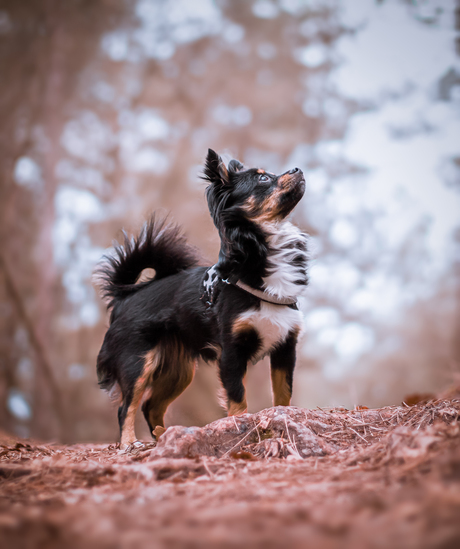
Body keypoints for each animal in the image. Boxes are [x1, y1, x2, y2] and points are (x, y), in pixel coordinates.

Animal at [95, 148, 308, 448]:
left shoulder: (285, 347)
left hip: (178, 372)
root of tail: (126, 295)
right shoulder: (231, 353)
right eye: (263, 178)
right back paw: (128, 444)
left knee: (151, 406)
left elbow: (283, 393)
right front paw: (240, 428)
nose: (298, 169)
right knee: (127, 407)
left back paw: (165, 437)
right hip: (137, 362)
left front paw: (284, 418)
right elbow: (237, 398)